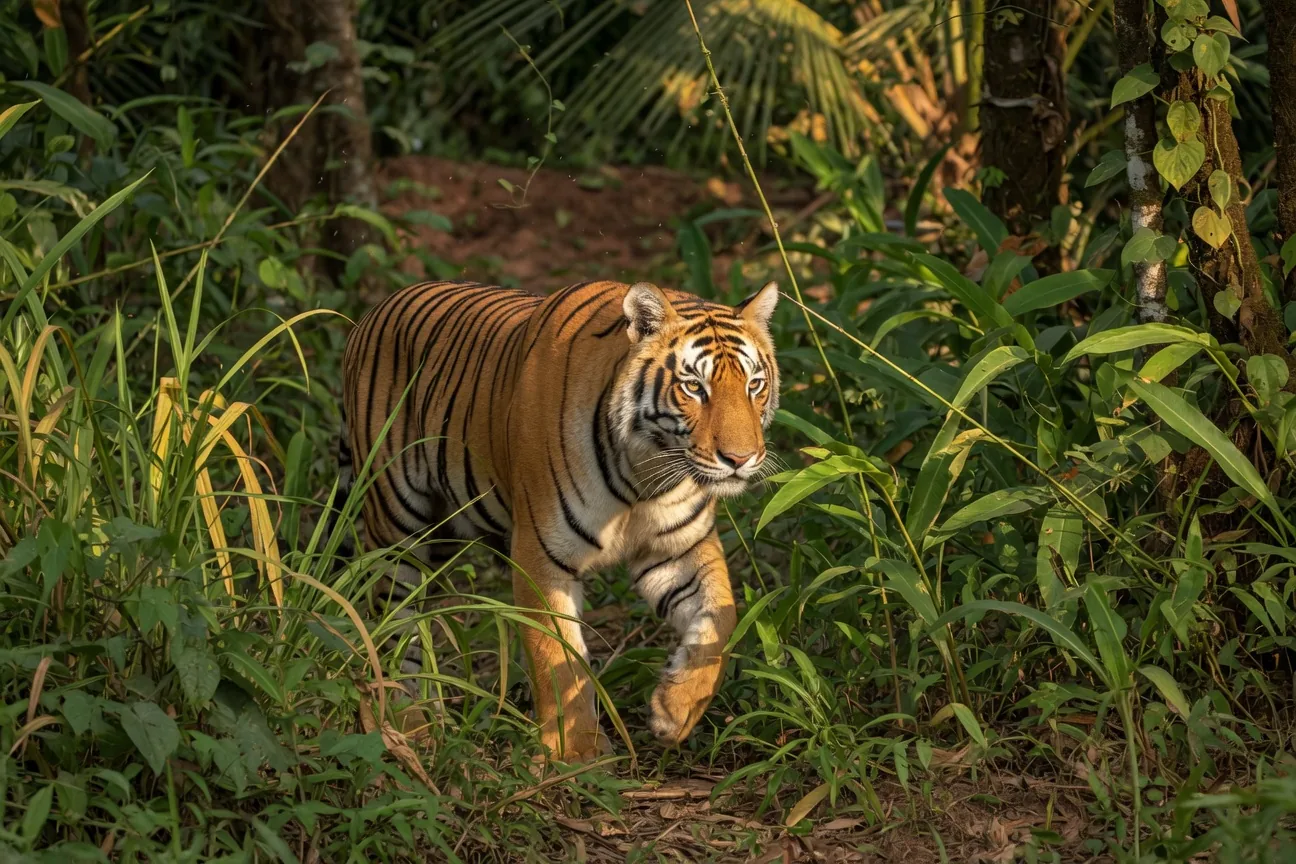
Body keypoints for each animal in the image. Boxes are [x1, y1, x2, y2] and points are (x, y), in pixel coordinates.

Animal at [332, 278, 780, 761]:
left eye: (754, 384)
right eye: (694, 387)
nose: (740, 459)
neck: (645, 472)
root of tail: (370, 314)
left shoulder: (678, 549)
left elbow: (723, 619)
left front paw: (675, 709)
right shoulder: (541, 554)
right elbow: (556, 655)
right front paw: (576, 753)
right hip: (396, 523)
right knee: (394, 619)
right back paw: (408, 721)